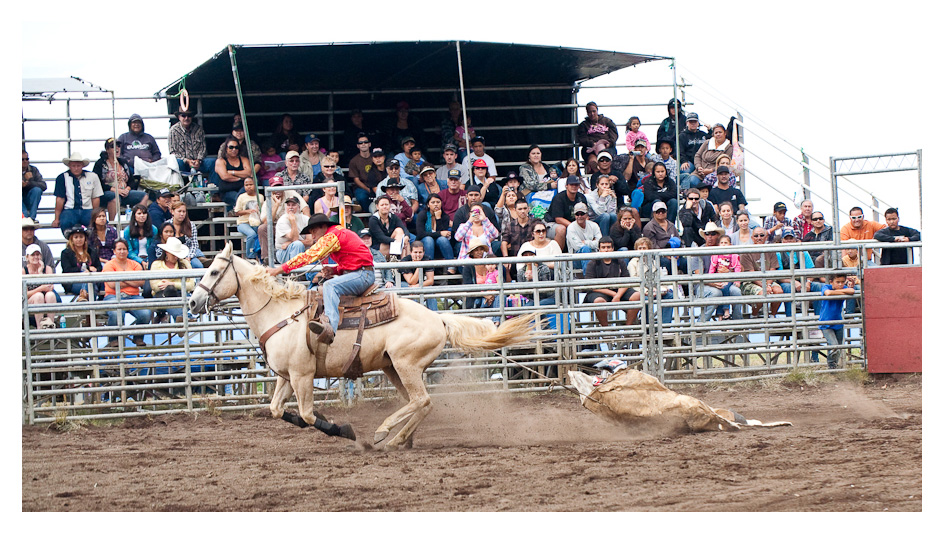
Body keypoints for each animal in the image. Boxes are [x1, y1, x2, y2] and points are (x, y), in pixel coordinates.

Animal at [188, 245, 536, 450]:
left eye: (215, 271)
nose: (192, 302)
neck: (280, 313)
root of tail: (438, 318)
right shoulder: (285, 376)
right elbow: (277, 411)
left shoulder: (302, 376)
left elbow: (308, 415)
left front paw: (344, 430)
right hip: (393, 367)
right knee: (422, 404)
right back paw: (400, 439)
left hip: (406, 365)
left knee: (420, 401)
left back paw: (384, 432)